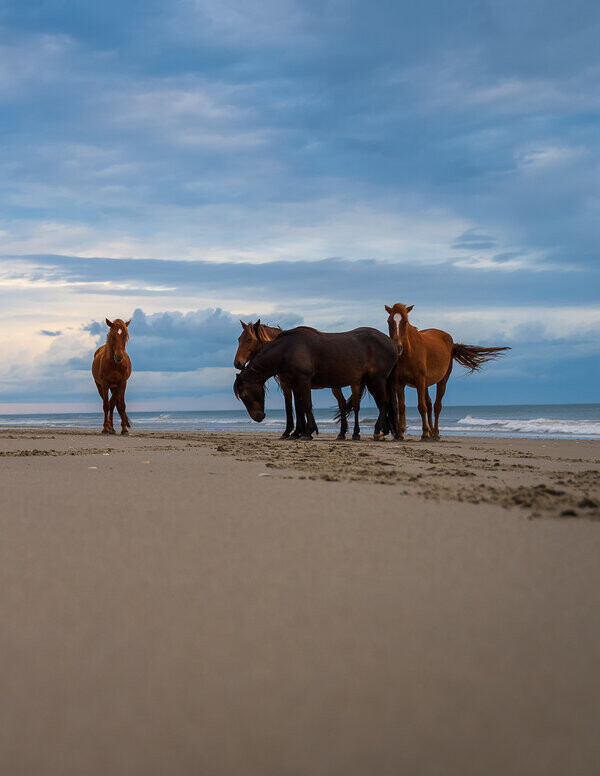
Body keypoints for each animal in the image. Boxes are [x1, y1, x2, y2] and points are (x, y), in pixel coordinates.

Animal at [234, 326, 398, 441]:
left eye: (244, 395)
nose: (258, 417)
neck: (287, 349)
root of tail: (393, 344)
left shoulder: (303, 381)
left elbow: (306, 405)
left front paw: (308, 432)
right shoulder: (294, 385)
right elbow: (298, 407)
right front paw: (296, 432)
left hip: (376, 380)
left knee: (383, 402)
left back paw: (376, 431)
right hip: (370, 382)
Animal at [384, 303, 510, 440]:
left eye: (405, 321)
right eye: (389, 321)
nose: (398, 348)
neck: (409, 353)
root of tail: (451, 341)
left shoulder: (420, 381)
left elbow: (421, 406)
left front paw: (424, 433)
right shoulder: (399, 383)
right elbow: (402, 407)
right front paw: (400, 433)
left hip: (441, 381)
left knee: (436, 406)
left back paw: (435, 433)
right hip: (426, 384)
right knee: (429, 405)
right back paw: (431, 431)